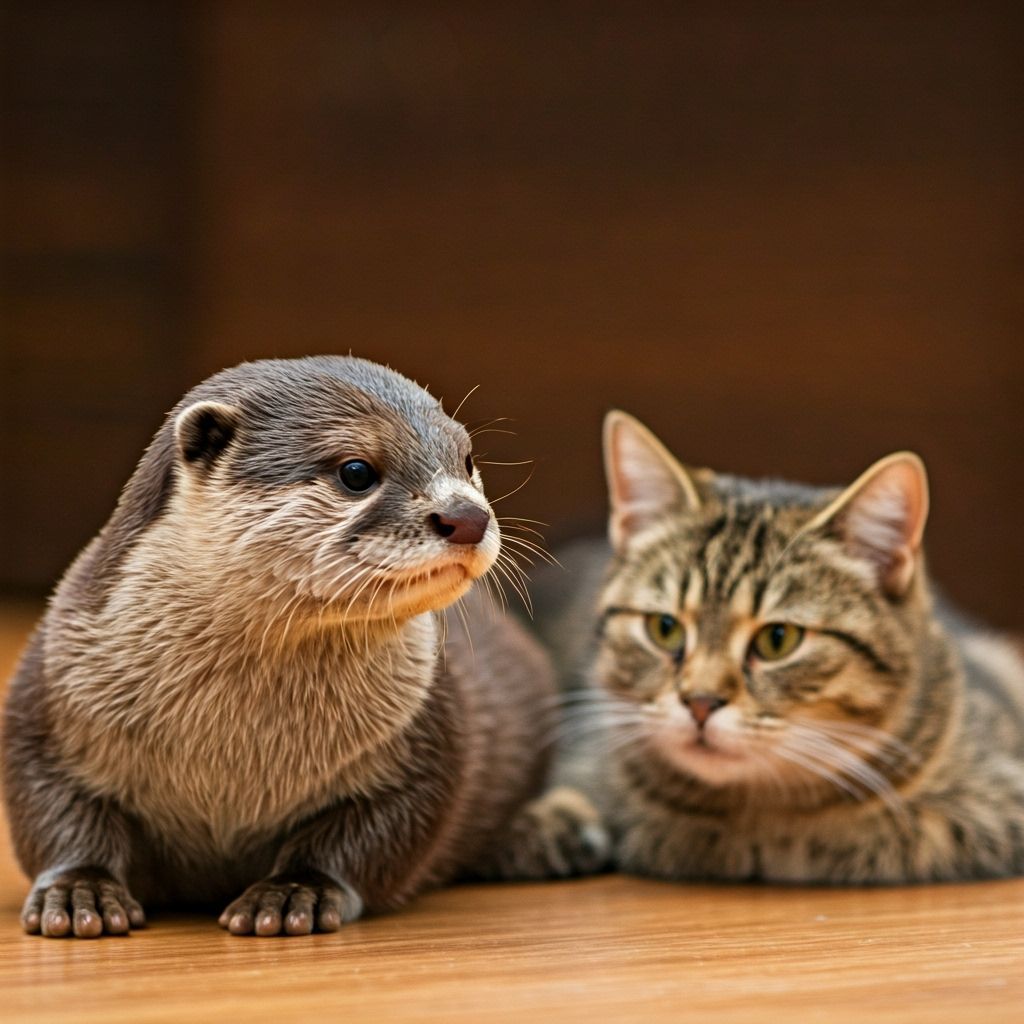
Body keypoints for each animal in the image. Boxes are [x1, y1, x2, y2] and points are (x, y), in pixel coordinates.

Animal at [3, 356, 607, 938]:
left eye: (467, 459)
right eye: (356, 471)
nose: (468, 516)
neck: (232, 756)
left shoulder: (426, 732)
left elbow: (378, 832)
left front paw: (296, 891)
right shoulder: (50, 693)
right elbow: (53, 810)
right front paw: (78, 891)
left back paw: (546, 833)